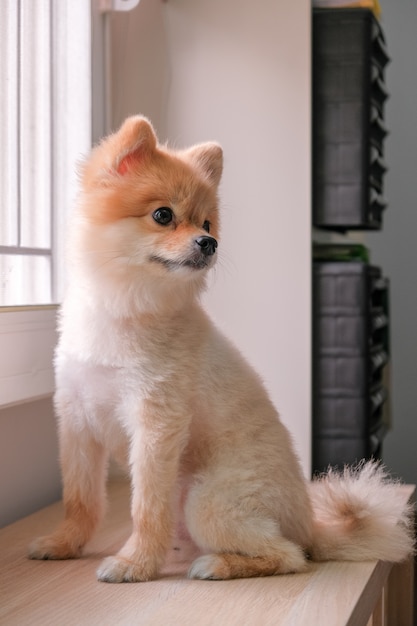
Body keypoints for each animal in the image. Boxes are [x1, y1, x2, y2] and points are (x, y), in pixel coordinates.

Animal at [28, 116, 412, 580]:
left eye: (207, 224)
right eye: (163, 215)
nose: (209, 244)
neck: (127, 309)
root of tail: (309, 524)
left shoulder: (156, 423)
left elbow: (145, 507)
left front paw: (135, 563)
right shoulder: (77, 420)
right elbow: (81, 500)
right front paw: (65, 543)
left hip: (207, 500)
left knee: (291, 555)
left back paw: (218, 564)